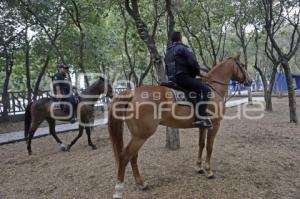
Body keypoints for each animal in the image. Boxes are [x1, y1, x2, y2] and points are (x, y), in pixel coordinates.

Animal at [108, 54, 253, 199]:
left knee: (133, 156)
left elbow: (201, 144)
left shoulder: (203, 126)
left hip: (137, 135)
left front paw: (199, 167)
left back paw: (141, 183)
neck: (213, 88)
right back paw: (119, 189)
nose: (250, 81)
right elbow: (209, 147)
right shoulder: (215, 125)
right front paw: (208, 170)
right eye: (242, 65)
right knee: (125, 156)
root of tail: (132, 93)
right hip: (141, 136)